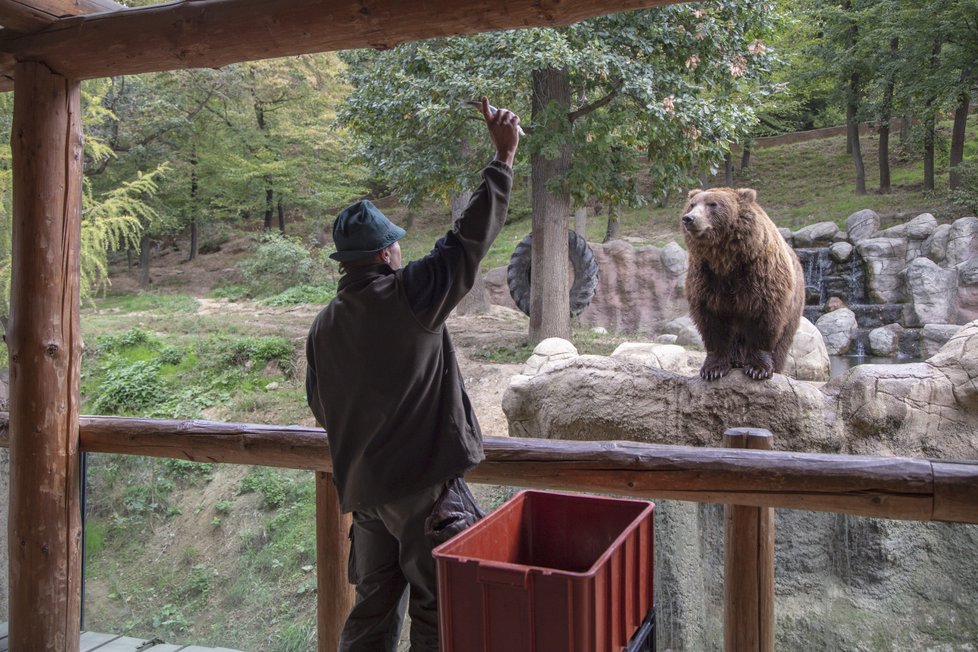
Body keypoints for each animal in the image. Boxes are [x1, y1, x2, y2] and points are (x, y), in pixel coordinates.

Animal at [680, 188, 800, 380]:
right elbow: (712, 322)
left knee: (783, 339)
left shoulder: (760, 274)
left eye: (713, 204)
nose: (689, 218)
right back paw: (736, 360)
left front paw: (758, 369)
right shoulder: (706, 278)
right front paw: (713, 369)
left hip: (794, 305)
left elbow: (763, 317)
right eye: (692, 204)